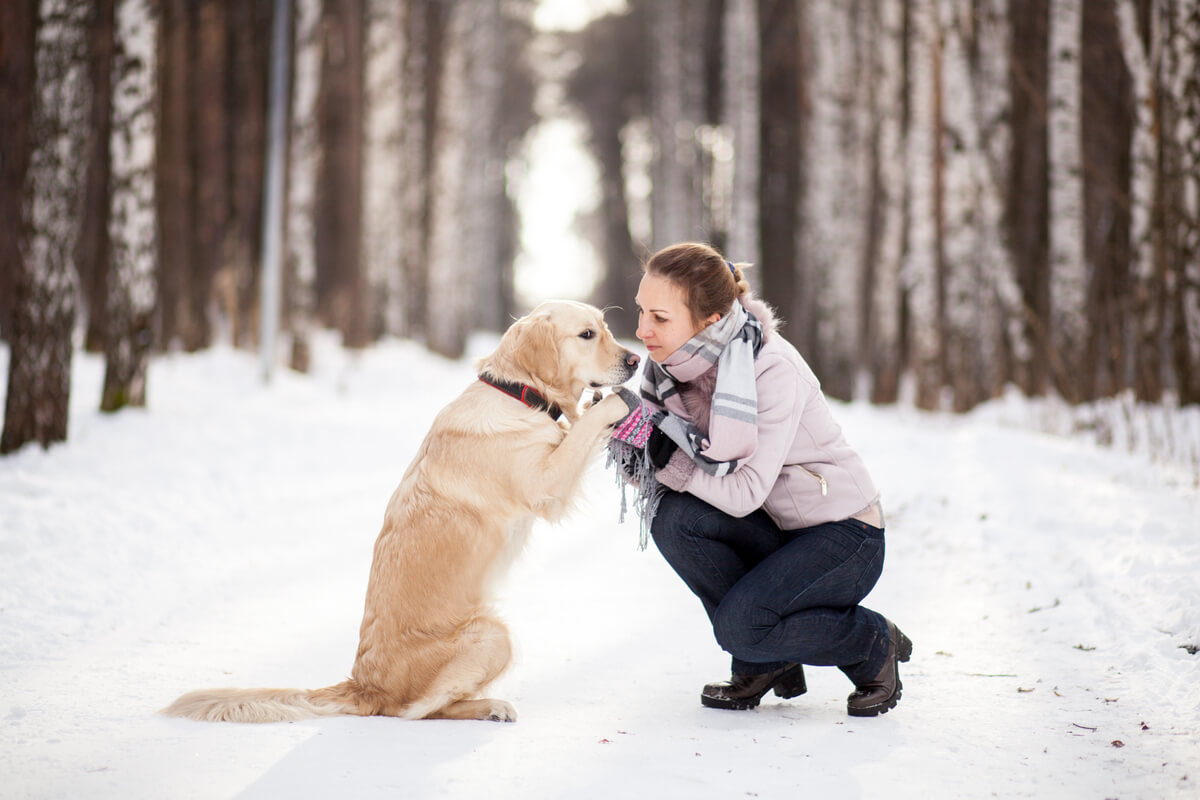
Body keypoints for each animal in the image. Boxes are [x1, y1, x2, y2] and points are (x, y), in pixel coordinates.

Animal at [166, 299, 648, 724]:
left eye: (605, 328)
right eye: (587, 335)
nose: (636, 359)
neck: (519, 395)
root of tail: (365, 685)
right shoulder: (545, 486)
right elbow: (585, 426)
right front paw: (616, 402)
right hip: (494, 634)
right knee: (419, 710)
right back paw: (488, 706)